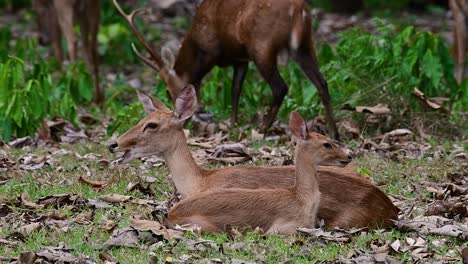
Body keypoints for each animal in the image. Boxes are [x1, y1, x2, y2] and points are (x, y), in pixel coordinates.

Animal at [113, 0, 340, 140]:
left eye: (168, 91)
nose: (175, 116)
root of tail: (299, 10)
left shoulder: (213, 51)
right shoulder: (240, 59)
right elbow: (235, 89)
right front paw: (232, 124)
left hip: (262, 46)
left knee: (280, 87)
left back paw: (262, 129)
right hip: (304, 45)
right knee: (322, 82)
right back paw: (335, 134)